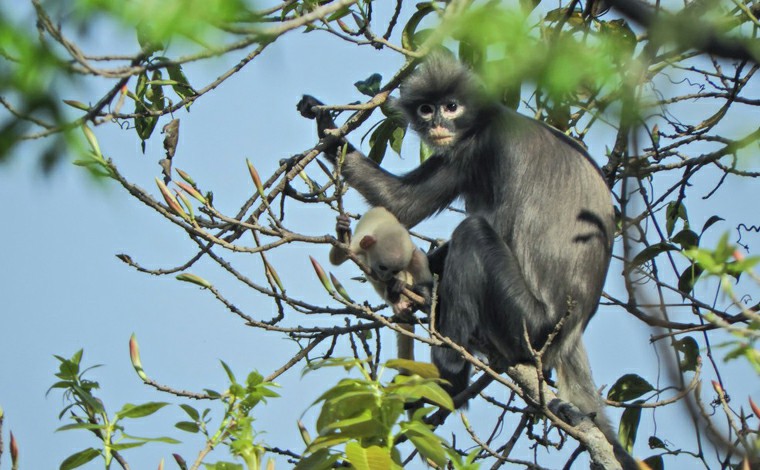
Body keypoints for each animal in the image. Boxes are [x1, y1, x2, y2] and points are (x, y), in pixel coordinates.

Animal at [300, 54, 632, 466]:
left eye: (451, 106)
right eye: (427, 109)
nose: (438, 124)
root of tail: (569, 334)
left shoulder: (486, 148)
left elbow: (438, 213)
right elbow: (402, 203)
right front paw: (325, 125)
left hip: (527, 323)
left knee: (472, 233)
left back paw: (449, 374)